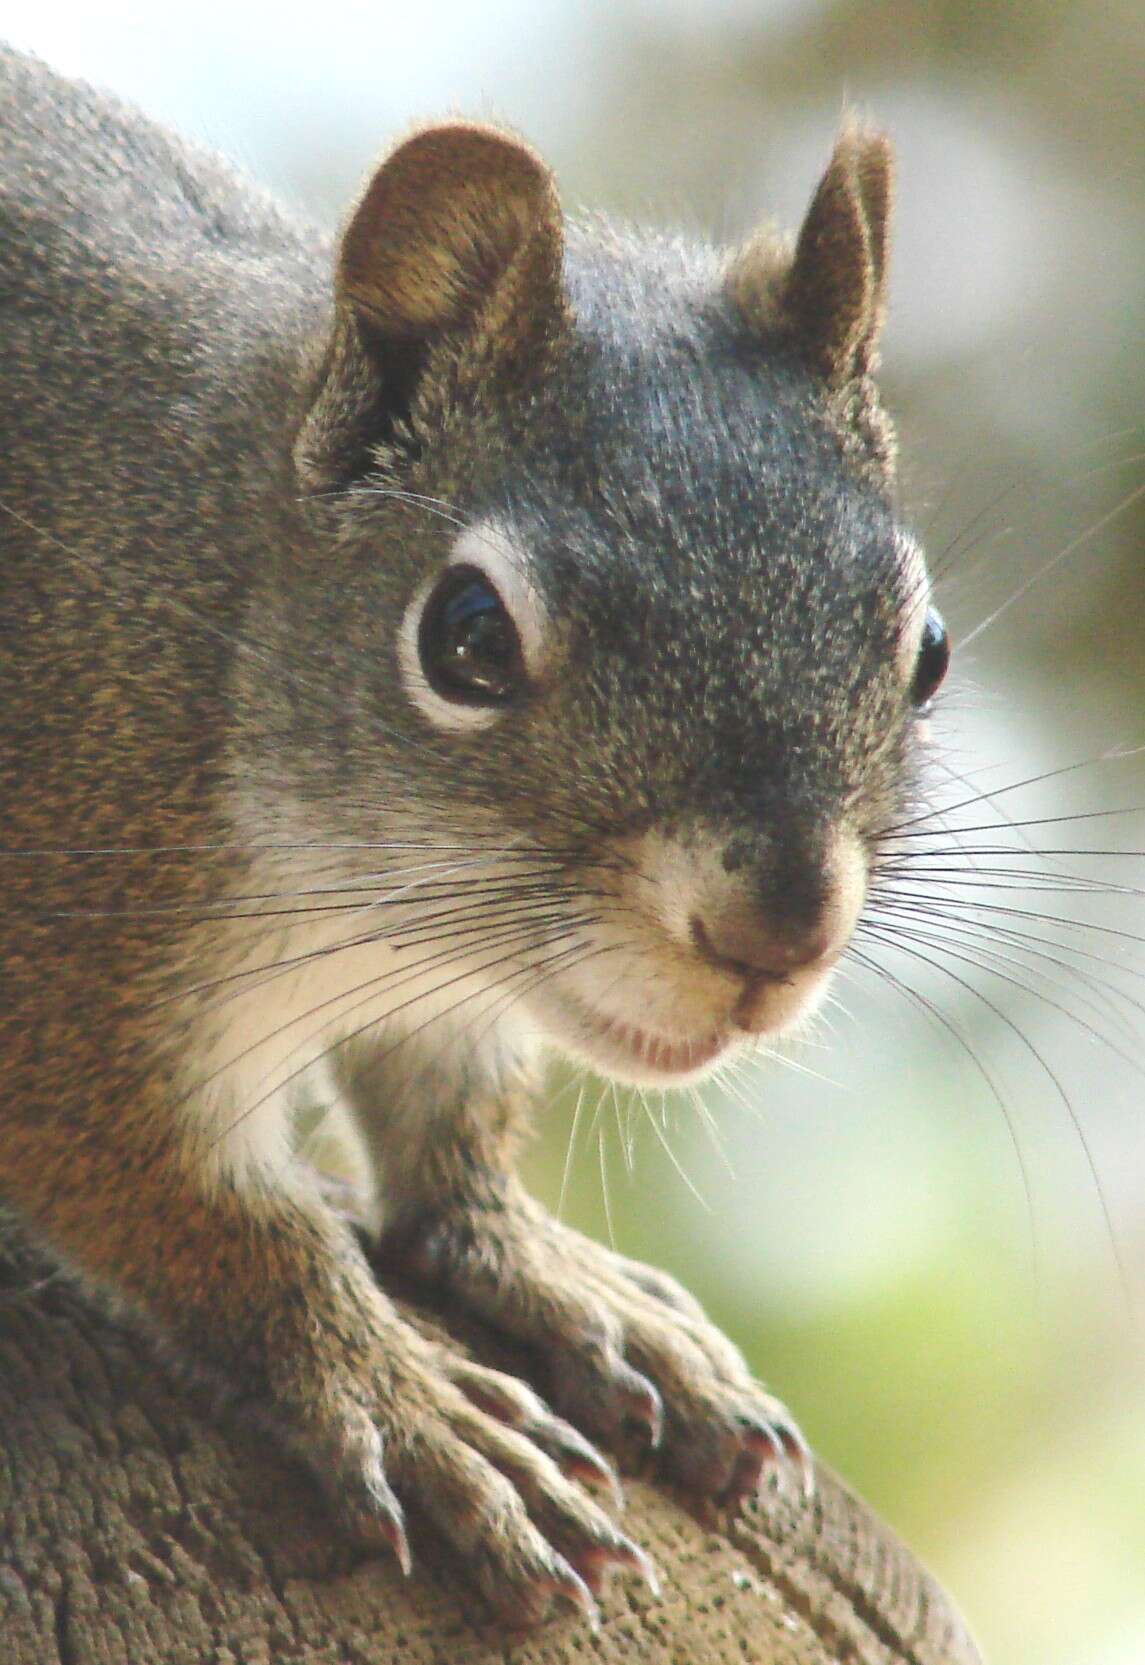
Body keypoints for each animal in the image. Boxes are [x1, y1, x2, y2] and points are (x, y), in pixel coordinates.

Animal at [0, 45, 945, 1631]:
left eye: (925, 652)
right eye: (466, 640)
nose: (775, 934)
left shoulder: (437, 992)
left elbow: (449, 1133)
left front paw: (555, 1274)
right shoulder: (66, 924)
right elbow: (203, 1209)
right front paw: (407, 1401)